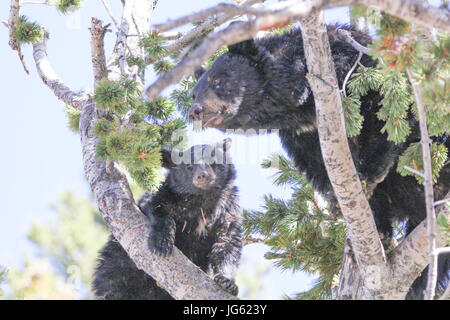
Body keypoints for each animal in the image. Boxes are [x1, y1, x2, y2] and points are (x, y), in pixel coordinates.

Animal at [92, 139, 243, 298]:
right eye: (188, 165)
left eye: (212, 159)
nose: (202, 175)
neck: (202, 200)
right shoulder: (168, 195)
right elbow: (157, 209)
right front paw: (162, 244)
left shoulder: (228, 209)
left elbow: (227, 244)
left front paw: (227, 282)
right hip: (115, 264)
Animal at [190, 25, 450, 300]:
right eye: (194, 92)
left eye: (219, 80)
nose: (195, 110)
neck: (301, 106)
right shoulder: (302, 135)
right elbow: (318, 164)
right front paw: (337, 200)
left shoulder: (352, 67)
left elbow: (384, 111)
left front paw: (369, 172)